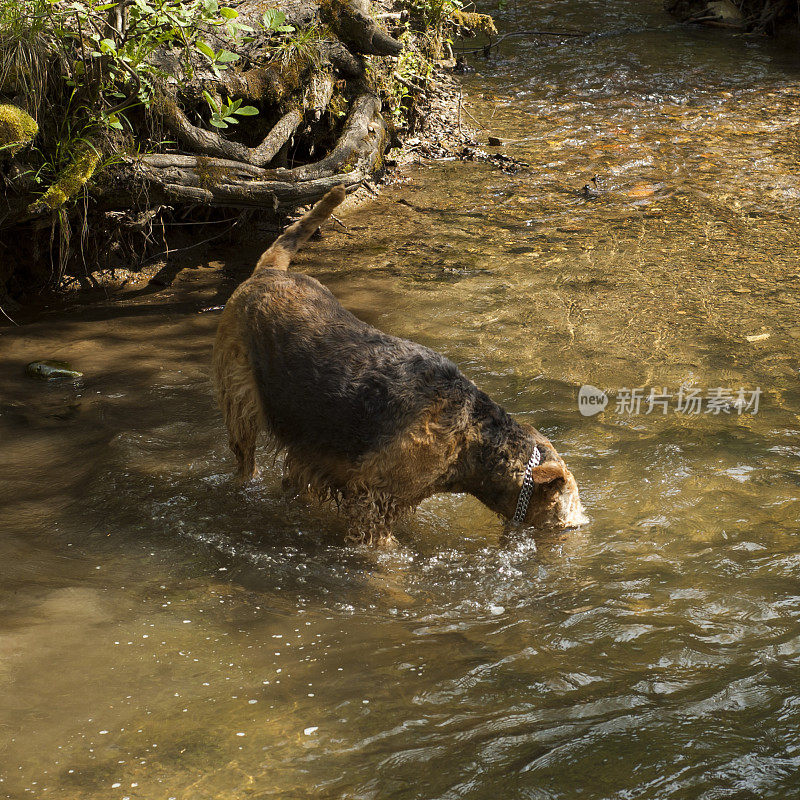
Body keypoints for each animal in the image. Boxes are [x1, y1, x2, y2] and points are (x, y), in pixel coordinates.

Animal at [212, 183, 584, 544]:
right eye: (564, 503)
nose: (576, 527)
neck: (470, 437)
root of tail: (267, 271)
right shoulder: (374, 498)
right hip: (240, 402)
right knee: (245, 462)